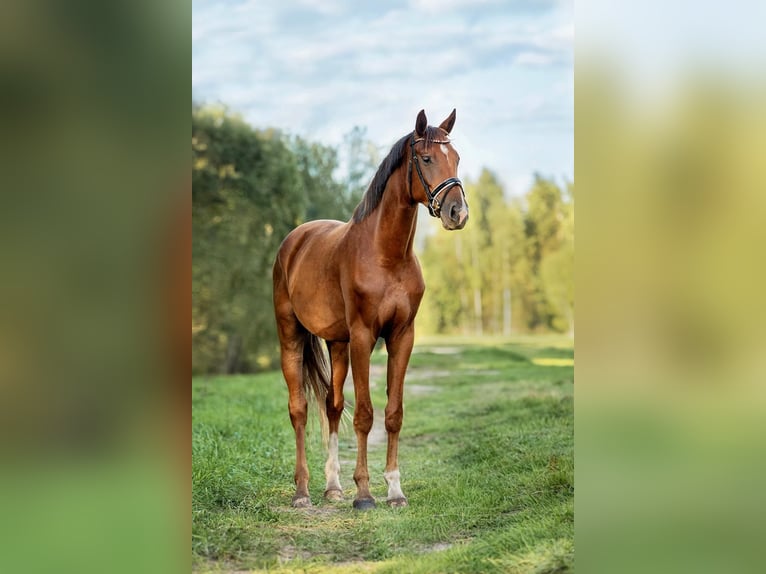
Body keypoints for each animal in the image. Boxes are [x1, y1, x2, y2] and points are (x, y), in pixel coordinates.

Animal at [272, 109, 468, 510]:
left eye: (456, 158)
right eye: (427, 158)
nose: (458, 212)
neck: (385, 256)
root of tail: (294, 240)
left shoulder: (401, 337)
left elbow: (393, 413)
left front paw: (394, 490)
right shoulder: (364, 337)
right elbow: (364, 414)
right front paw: (364, 493)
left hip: (337, 343)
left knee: (332, 405)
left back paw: (333, 488)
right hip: (291, 336)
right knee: (299, 409)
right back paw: (302, 492)